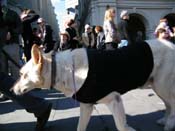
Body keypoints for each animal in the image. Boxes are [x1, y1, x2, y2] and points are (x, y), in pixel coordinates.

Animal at [13, 39, 175, 131]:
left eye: (22, 74)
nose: (11, 90)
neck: (66, 70)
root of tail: (171, 44)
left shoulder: (114, 101)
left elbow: (121, 126)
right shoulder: (86, 106)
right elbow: (80, 127)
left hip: (162, 86)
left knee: (172, 103)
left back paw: (169, 124)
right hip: (158, 87)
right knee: (168, 105)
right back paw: (165, 121)